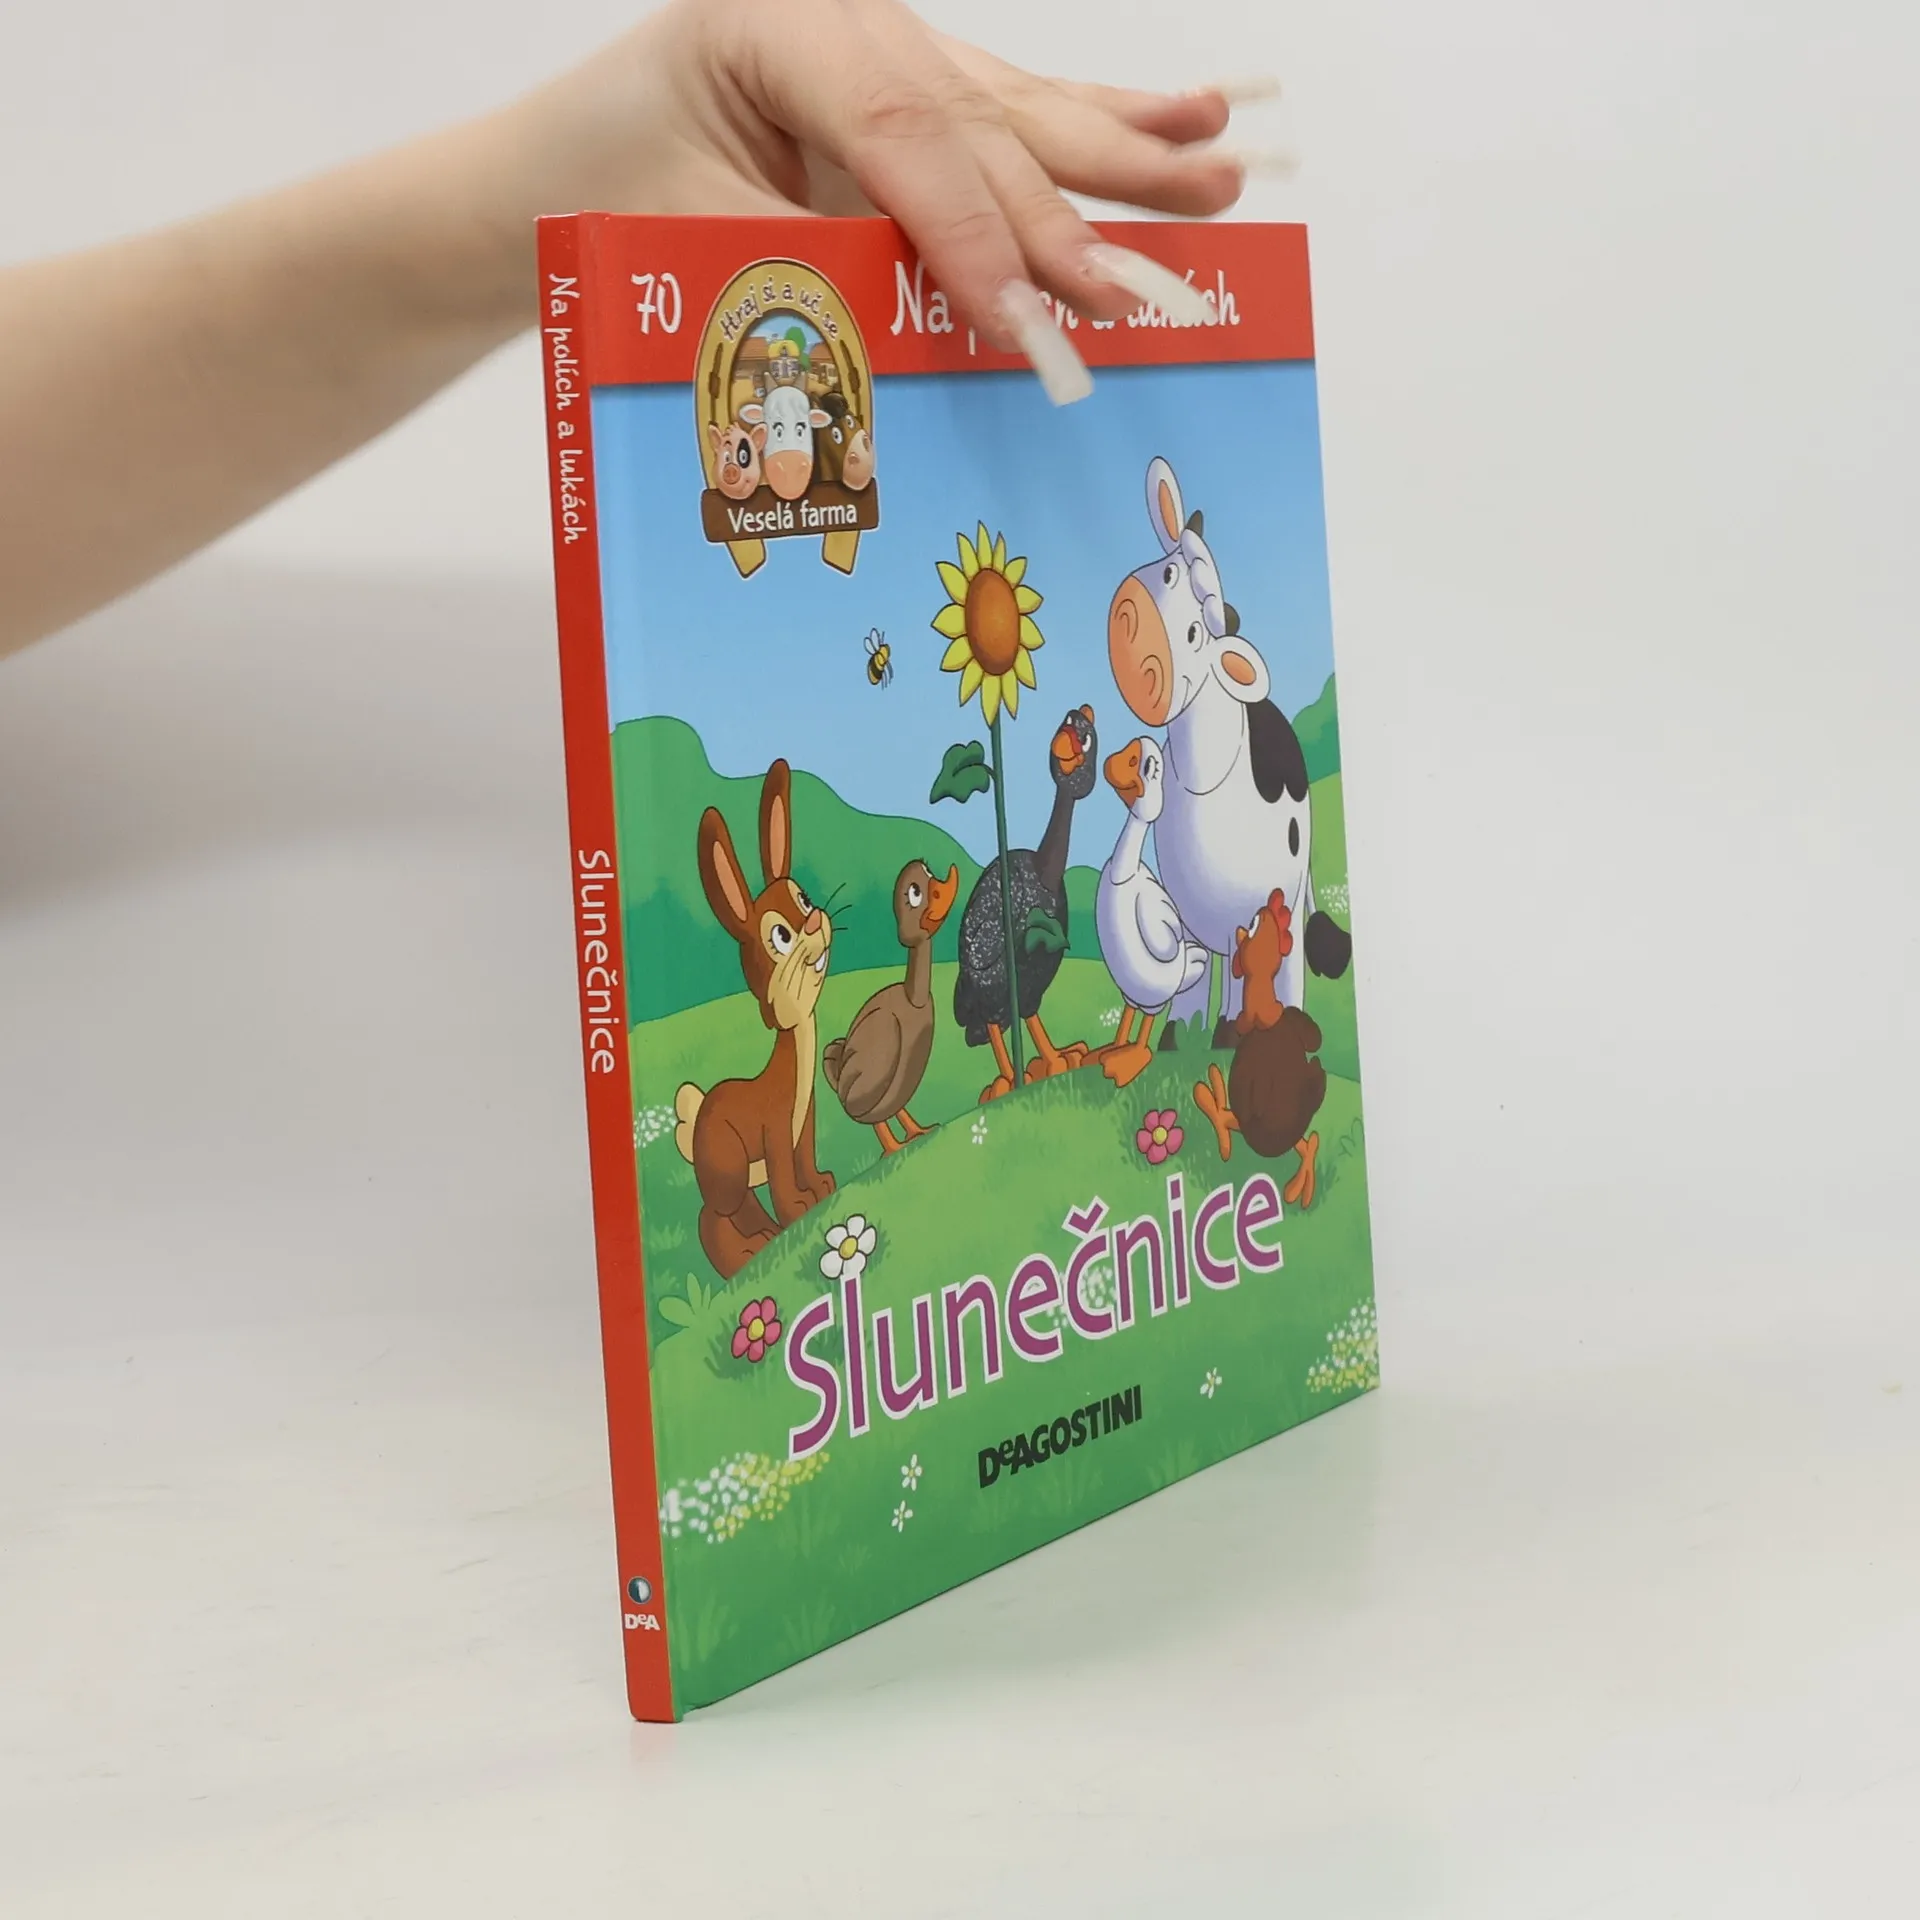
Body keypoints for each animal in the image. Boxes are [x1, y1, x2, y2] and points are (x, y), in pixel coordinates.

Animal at [673, 759, 837, 1280]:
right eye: (780, 936)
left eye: (803, 898)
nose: (814, 921)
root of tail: (697, 1109)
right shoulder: (774, 1129)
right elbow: (785, 1177)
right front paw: (800, 1209)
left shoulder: (804, 1123)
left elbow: (805, 1161)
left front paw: (820, 1187)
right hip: (726, 1166)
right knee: (716, 1214)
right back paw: (745, 1256)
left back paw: (761, 1240)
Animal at [1106, 456, 1351, 1038]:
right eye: (1168, 573)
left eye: (1196, 635)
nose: (1135, 635)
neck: (1206, 772)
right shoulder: (1187, 912)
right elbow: (1192, 985)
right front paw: (1178, 1040)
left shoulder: (1261, 909)